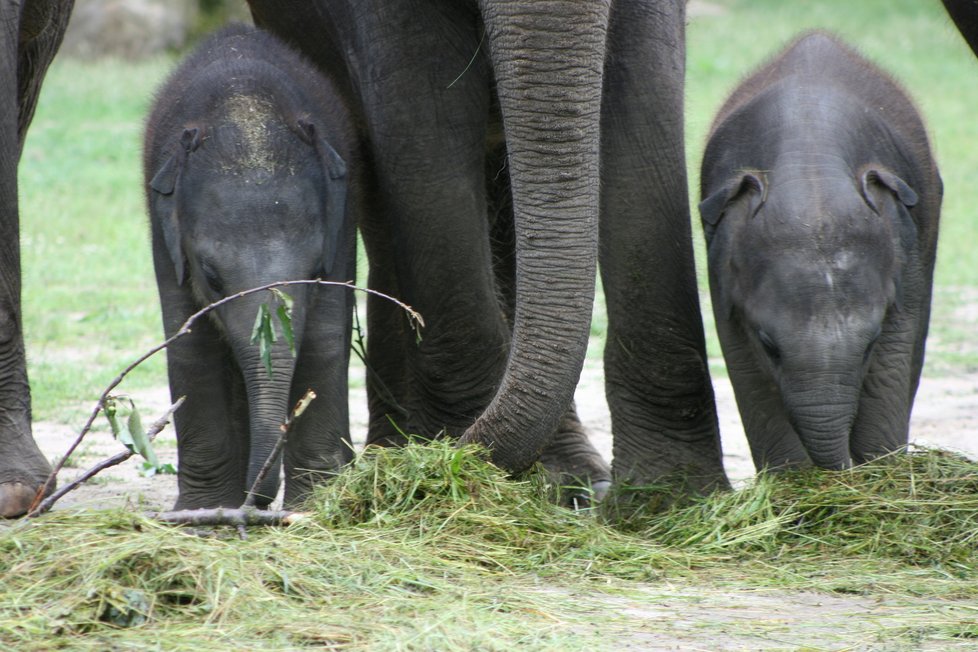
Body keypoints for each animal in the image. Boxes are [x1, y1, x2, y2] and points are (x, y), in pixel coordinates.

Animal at [143, 22, 356, 510]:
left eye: (315, 270)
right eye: (212, 276)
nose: (255, 499)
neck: (243, 100)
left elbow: (323, 340)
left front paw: (314, 509)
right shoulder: (162, 233)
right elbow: (191, 346)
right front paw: (201, 514)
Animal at [696, 31, 940, 468]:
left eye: (870, 343)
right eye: (769, 345)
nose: (843, 472)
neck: (811, 176)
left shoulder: (905, 247)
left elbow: (895, 351)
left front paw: (879, 467)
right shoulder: (721, 257)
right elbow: (743, 363)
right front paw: (793, 479)